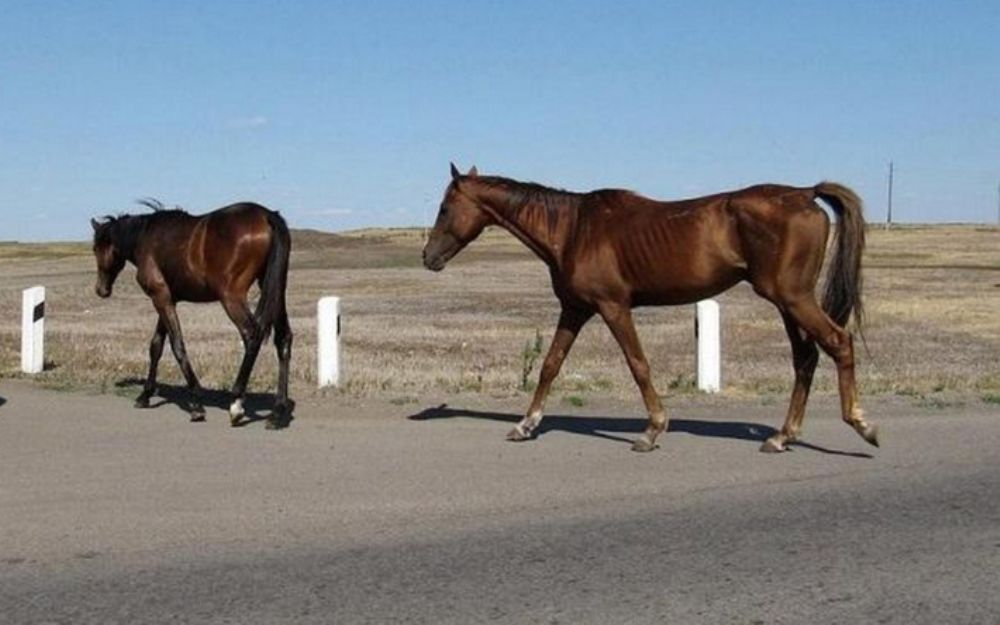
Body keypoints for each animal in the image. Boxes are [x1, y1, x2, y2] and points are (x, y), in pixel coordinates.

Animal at [91, 200, 293, 428]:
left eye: (96, 248)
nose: (101, 290)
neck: (145, 237)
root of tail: (267, 215)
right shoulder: (167, 299)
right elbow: (156, 346)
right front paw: (145, 394)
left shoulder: (160, 297)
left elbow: (177, 345)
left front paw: (196, 402)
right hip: (274, 291)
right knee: (283, 339)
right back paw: (278, 411)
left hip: (231, 297)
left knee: (252, 336)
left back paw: (237, 402)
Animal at [423, 164, 879, 453]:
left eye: (445, 208)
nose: (428, 257)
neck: (572, 229)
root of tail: (805, 193)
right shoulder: (575, 309)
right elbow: (551, 364)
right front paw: (525, 424)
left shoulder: (613, 307)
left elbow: (638, 364)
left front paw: (652, 430)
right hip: (788, 303)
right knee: (805, 359)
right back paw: (782, 437)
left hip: (794, 298)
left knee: (838, 343)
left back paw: (861, 424)